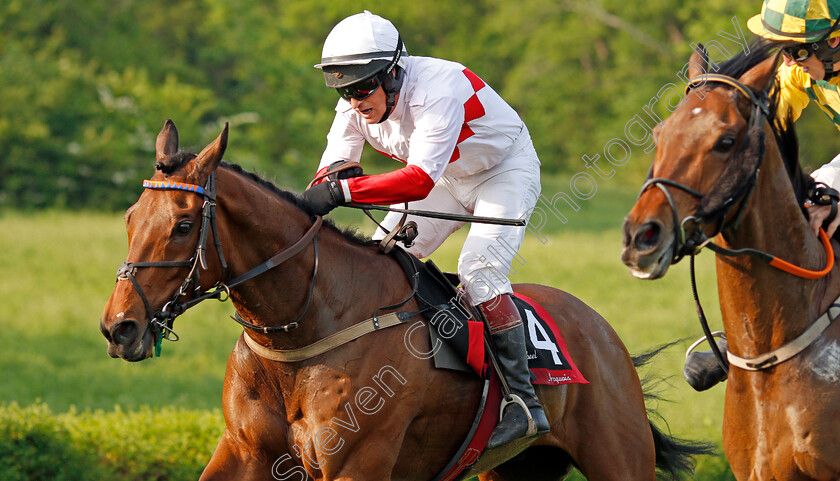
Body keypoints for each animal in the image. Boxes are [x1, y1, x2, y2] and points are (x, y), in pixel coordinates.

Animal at [101, 118, 708, 478]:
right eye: (130, 217)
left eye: (183, 225)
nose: (119, 327)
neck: (305, 328)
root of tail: (603, 331)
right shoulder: (243, 451)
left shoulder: (357, 461)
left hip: (618, 456)